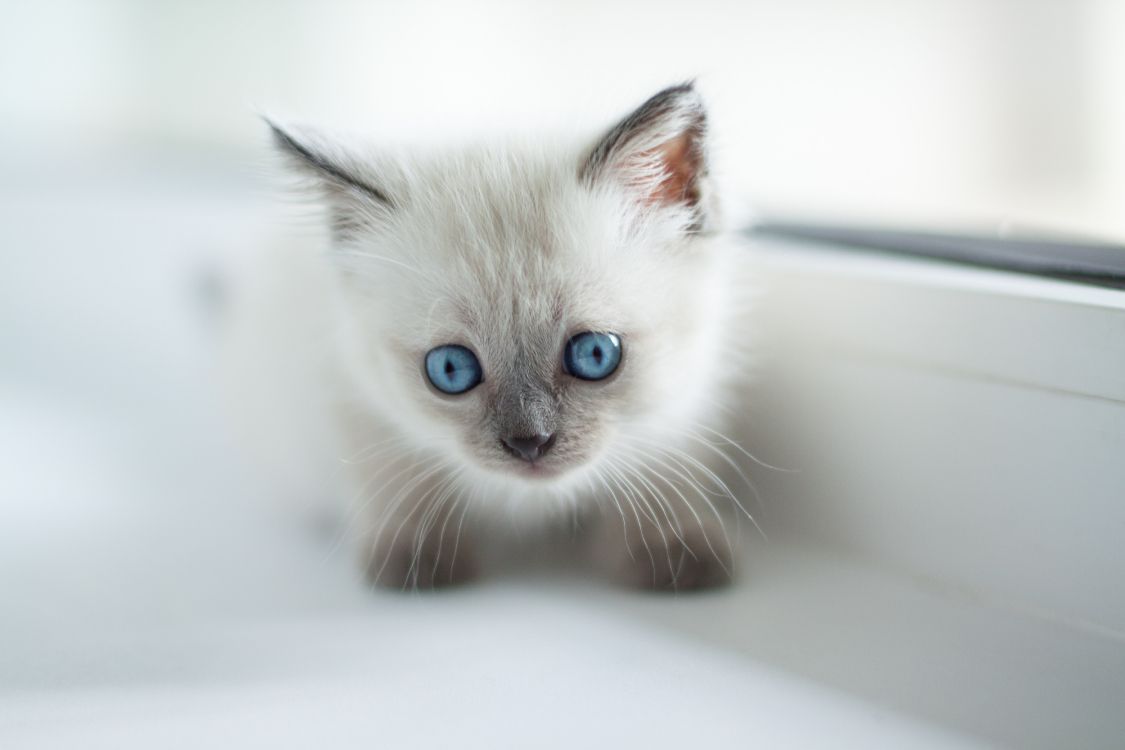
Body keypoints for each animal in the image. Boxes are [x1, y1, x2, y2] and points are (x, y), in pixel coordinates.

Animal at [264, 84, 756, 589]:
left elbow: (661, 472)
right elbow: (399, 477)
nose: (529, 444)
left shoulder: (683, 403)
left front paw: (672, 551)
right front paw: (417, 558)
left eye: (594, 354)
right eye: (450, 369)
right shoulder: (354, 396)